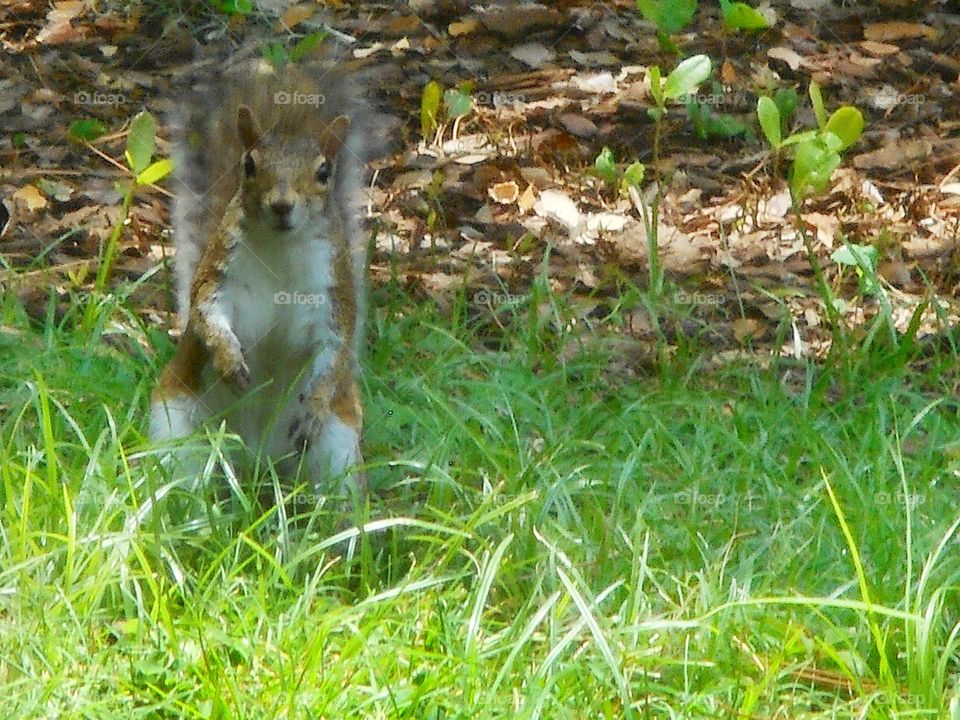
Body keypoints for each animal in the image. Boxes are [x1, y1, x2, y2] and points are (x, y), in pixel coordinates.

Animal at [150, 59, 369, 500]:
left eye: (324, 171)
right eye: (249, 165)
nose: (282, 205)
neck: (279, 248)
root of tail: (256, 462)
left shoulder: (333, 296)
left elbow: (334, 350)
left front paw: (314, 404)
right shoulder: (218, 274)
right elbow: (206, 313)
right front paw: (230, 359)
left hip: (337, 446)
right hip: (176, 426)